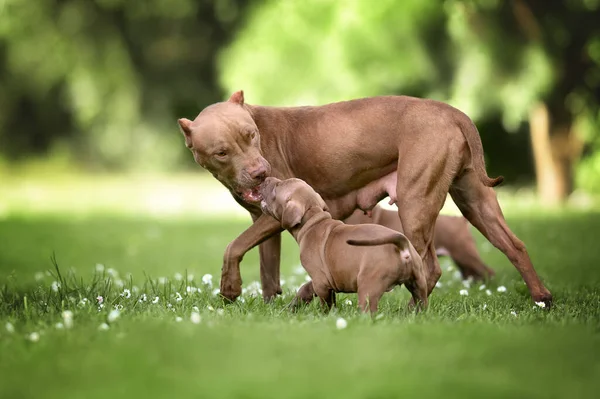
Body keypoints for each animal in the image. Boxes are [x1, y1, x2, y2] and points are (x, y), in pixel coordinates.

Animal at [258, 177, 426, 314]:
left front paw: (324, 317)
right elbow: (311, 291)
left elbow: (326, 304)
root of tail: (402, 244)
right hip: (418, 283)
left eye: (277, 186)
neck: (313, 221)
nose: (265, 179)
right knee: (421, 303)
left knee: (368, 311)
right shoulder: (325, 280)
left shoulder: (320, 281)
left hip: (368, 286)